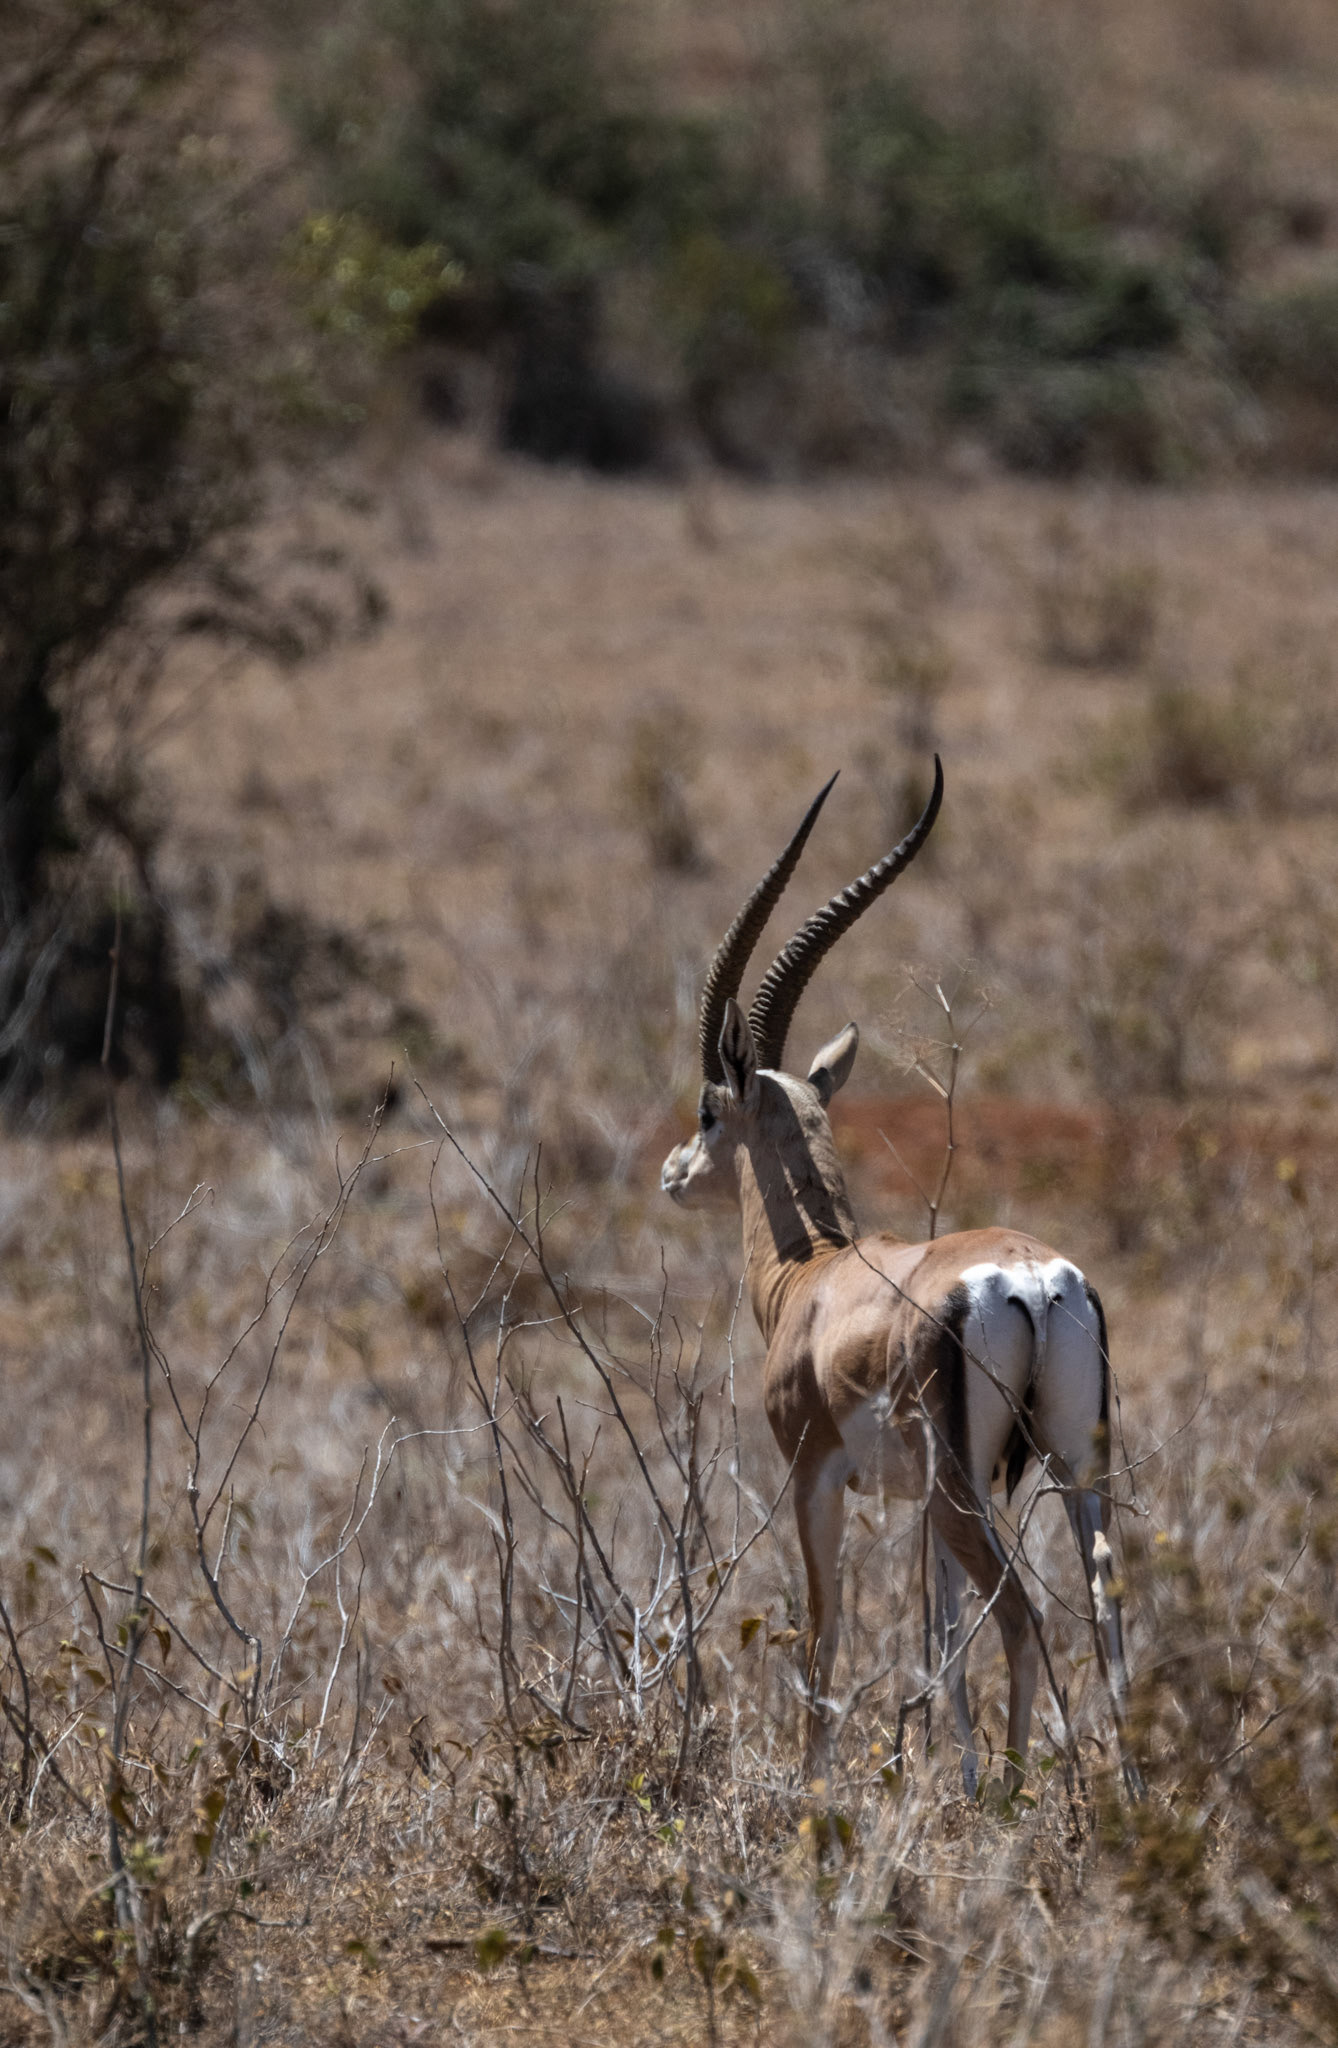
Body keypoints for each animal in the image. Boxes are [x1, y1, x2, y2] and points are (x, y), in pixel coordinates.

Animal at [661, 764, 1130, 1795]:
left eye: (710, 1109)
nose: (673, 1173)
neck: (814, 1277)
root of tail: (1031, 1280)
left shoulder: (815, 1479)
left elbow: (825, 1634)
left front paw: (815, 1787)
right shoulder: (919, 1501)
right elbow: (938, 1638)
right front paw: (946, 1774)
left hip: (968, 1493)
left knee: (1024, 1616)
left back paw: (1026, 1795)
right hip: (1070, 1470)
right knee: (1108, 1614)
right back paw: (1122, 1794)